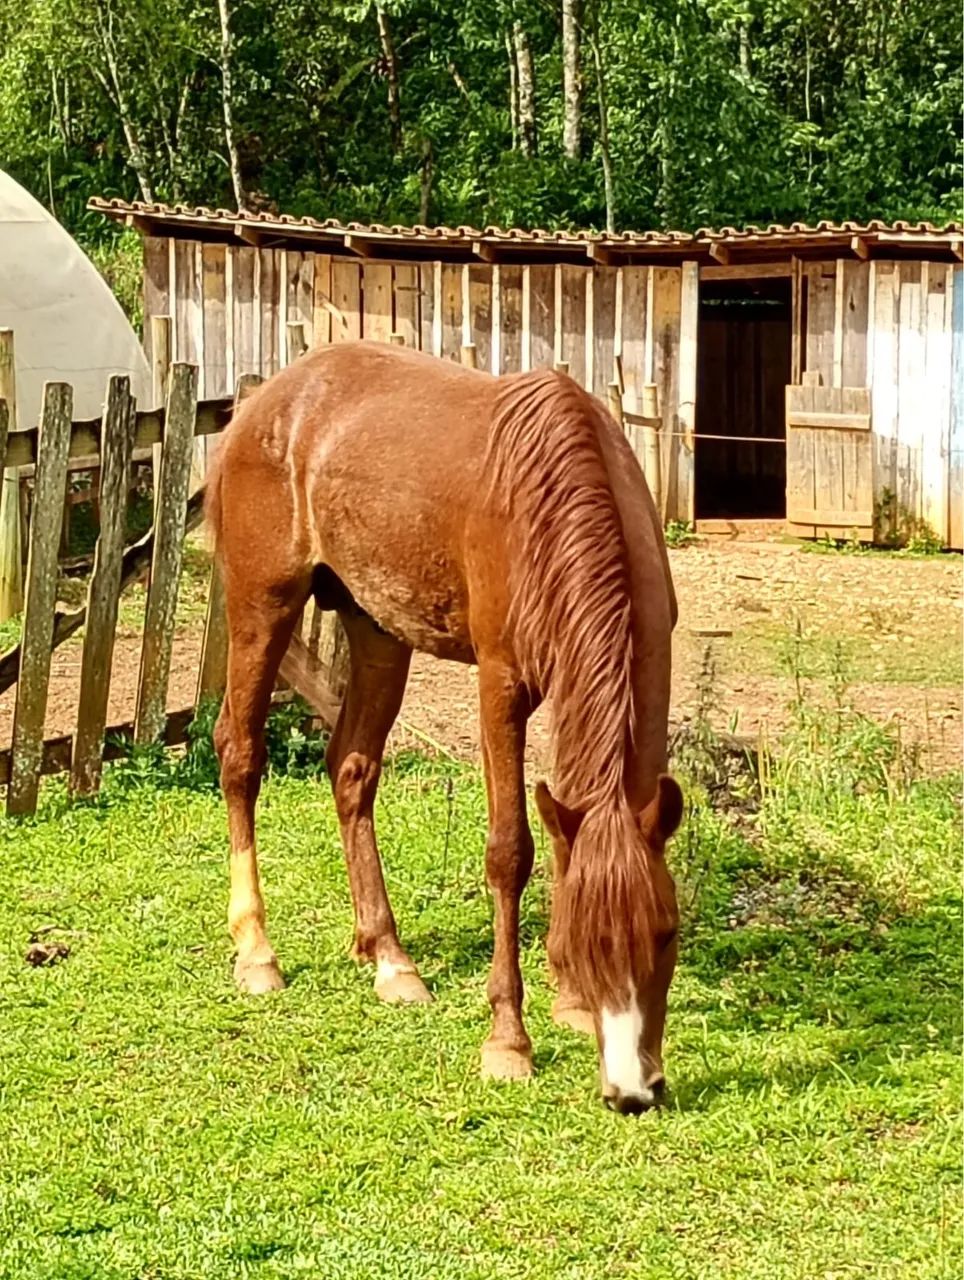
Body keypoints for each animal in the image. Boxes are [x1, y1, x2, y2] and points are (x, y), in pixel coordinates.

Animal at [205, 339, 683, 1114]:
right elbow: (511, 851)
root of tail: (271, 399)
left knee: (351, 770)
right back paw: (257, 952)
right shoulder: (501, 685)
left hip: (375, 627)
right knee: (241, 756)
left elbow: (564, 839)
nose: (633, 1091)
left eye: (666, 934)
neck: (559, 498)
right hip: (261, 603)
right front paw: (509, 1041)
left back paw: (388, 956)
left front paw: (570, 1002)